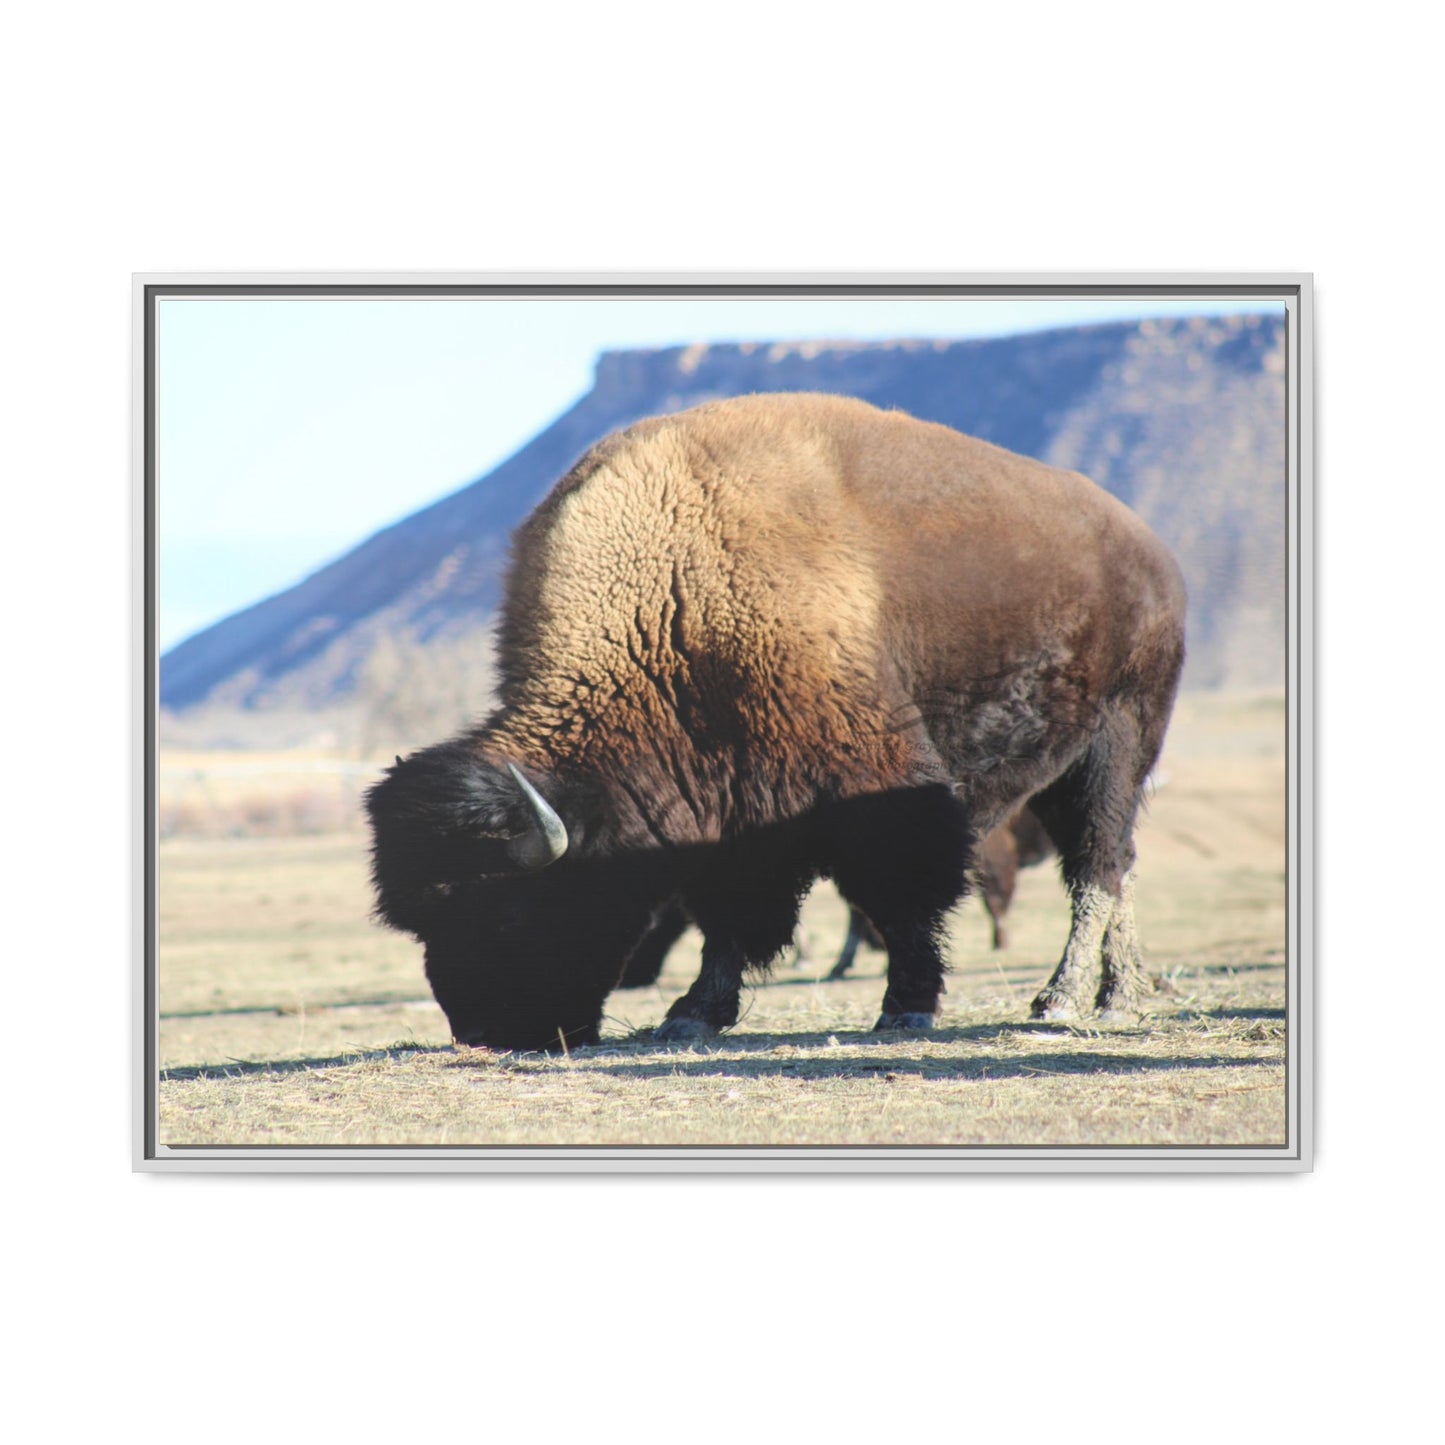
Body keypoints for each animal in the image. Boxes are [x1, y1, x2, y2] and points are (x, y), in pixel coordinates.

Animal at [366, 393, 1186, 1051]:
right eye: (423, 923)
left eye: (505, 911)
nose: (485, 1031)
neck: (673, 600)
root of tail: (1150, 552)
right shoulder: (728, 811)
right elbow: (728, 916)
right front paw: (691, 1014)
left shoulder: (877, 785)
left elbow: (903, 895)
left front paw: (906, 1007)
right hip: (1063, 768)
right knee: (1113, 865)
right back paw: (1119, 992)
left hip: (1118, 743)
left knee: (1098, 864)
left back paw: (1068, 1000)